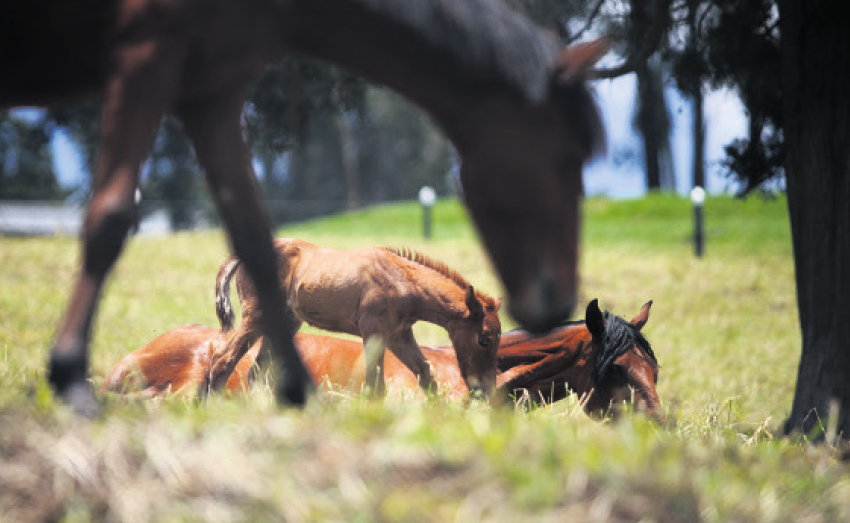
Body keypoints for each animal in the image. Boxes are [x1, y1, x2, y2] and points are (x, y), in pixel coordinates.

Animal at [210, 238, 502, 396]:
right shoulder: (374, 332)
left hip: (282, 324)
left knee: (255, 373)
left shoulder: (398, 335)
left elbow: (425, 373)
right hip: (256, 316)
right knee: (222, 359)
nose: (485, 388)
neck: (402, 279)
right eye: (483, 340)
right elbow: (376, 385)